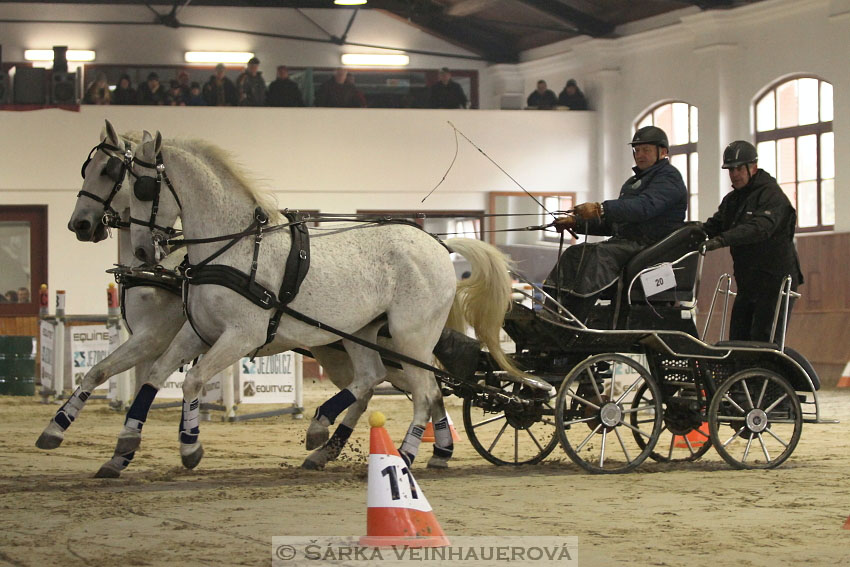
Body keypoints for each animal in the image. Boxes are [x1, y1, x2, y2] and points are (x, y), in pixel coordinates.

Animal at [123, 132, 520, 470]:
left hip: (413, 338)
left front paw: (189, 447)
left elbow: (193, 379)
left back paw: (404, 455)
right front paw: (131, 445)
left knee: (425, 394)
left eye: (142, 188)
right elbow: (159, 376)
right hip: (363, 332)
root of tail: (439, 244)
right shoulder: (201, 332)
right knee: (376, 378)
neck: (235, 247)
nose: (141, 250)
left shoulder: (242, 335)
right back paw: (331, 438)